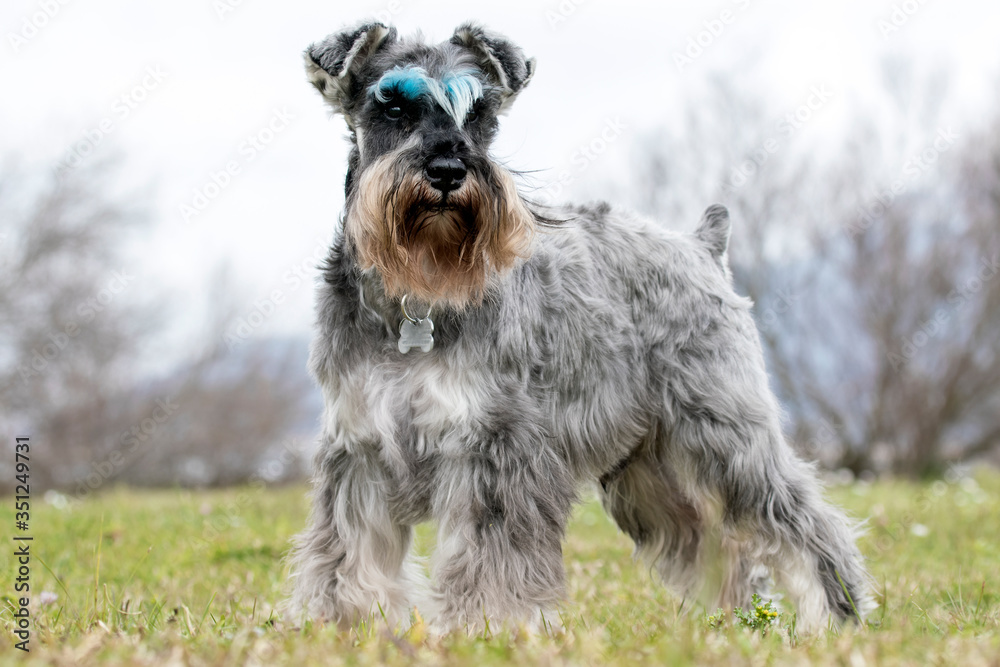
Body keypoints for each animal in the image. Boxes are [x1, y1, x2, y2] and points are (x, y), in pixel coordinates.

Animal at [286, 20, 872, 636]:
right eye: (393, 107)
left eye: (480, 114)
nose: (448, 171)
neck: (415, 299)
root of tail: (702, 246)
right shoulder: (358, 448)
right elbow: (346, 552)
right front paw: (339, 626)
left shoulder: (499, 446)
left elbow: (493, 552)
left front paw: (489, 628)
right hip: (651, 472)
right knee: (718, 544)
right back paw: (731, 623)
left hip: (727, 435)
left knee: (799, 523)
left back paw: (838, 617)